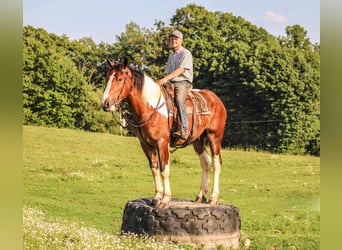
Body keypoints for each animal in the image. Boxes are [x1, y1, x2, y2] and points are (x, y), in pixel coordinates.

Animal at [101, 57, 227, 208]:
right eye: (107, 77)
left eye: (120, 79)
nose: (106, 104)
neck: (150, 108)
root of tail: (216, 100)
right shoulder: (146, 145)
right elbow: (154, 169)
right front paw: (156, 198)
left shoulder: (162, 142)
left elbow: (164, 170)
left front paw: (166, 200)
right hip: (198, 140)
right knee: (205, 163)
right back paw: (200, 196)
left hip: (215, 137)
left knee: (216, 163)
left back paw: (213, 197)